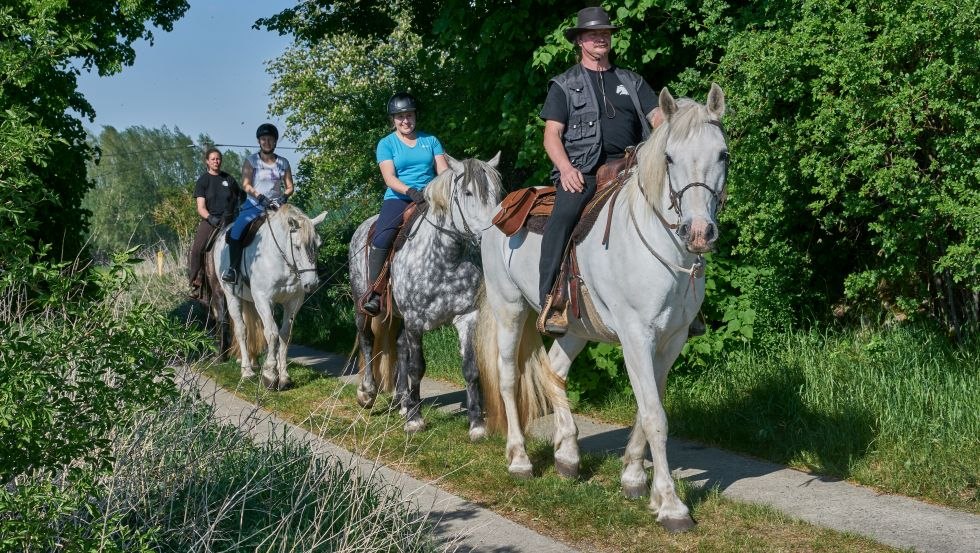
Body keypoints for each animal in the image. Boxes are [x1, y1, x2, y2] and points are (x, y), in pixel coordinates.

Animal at [213, 202, 328, 388]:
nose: (311, 284)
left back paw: (254, 364)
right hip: (231, 296)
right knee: (242, 330)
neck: (282, 261)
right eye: (297, 246)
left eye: (318, 245)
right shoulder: (263, 299)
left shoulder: (293, 302)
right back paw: (247, 371)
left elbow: (284, 334)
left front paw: (284, 376)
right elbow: (272, 333)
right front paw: (269, 375)